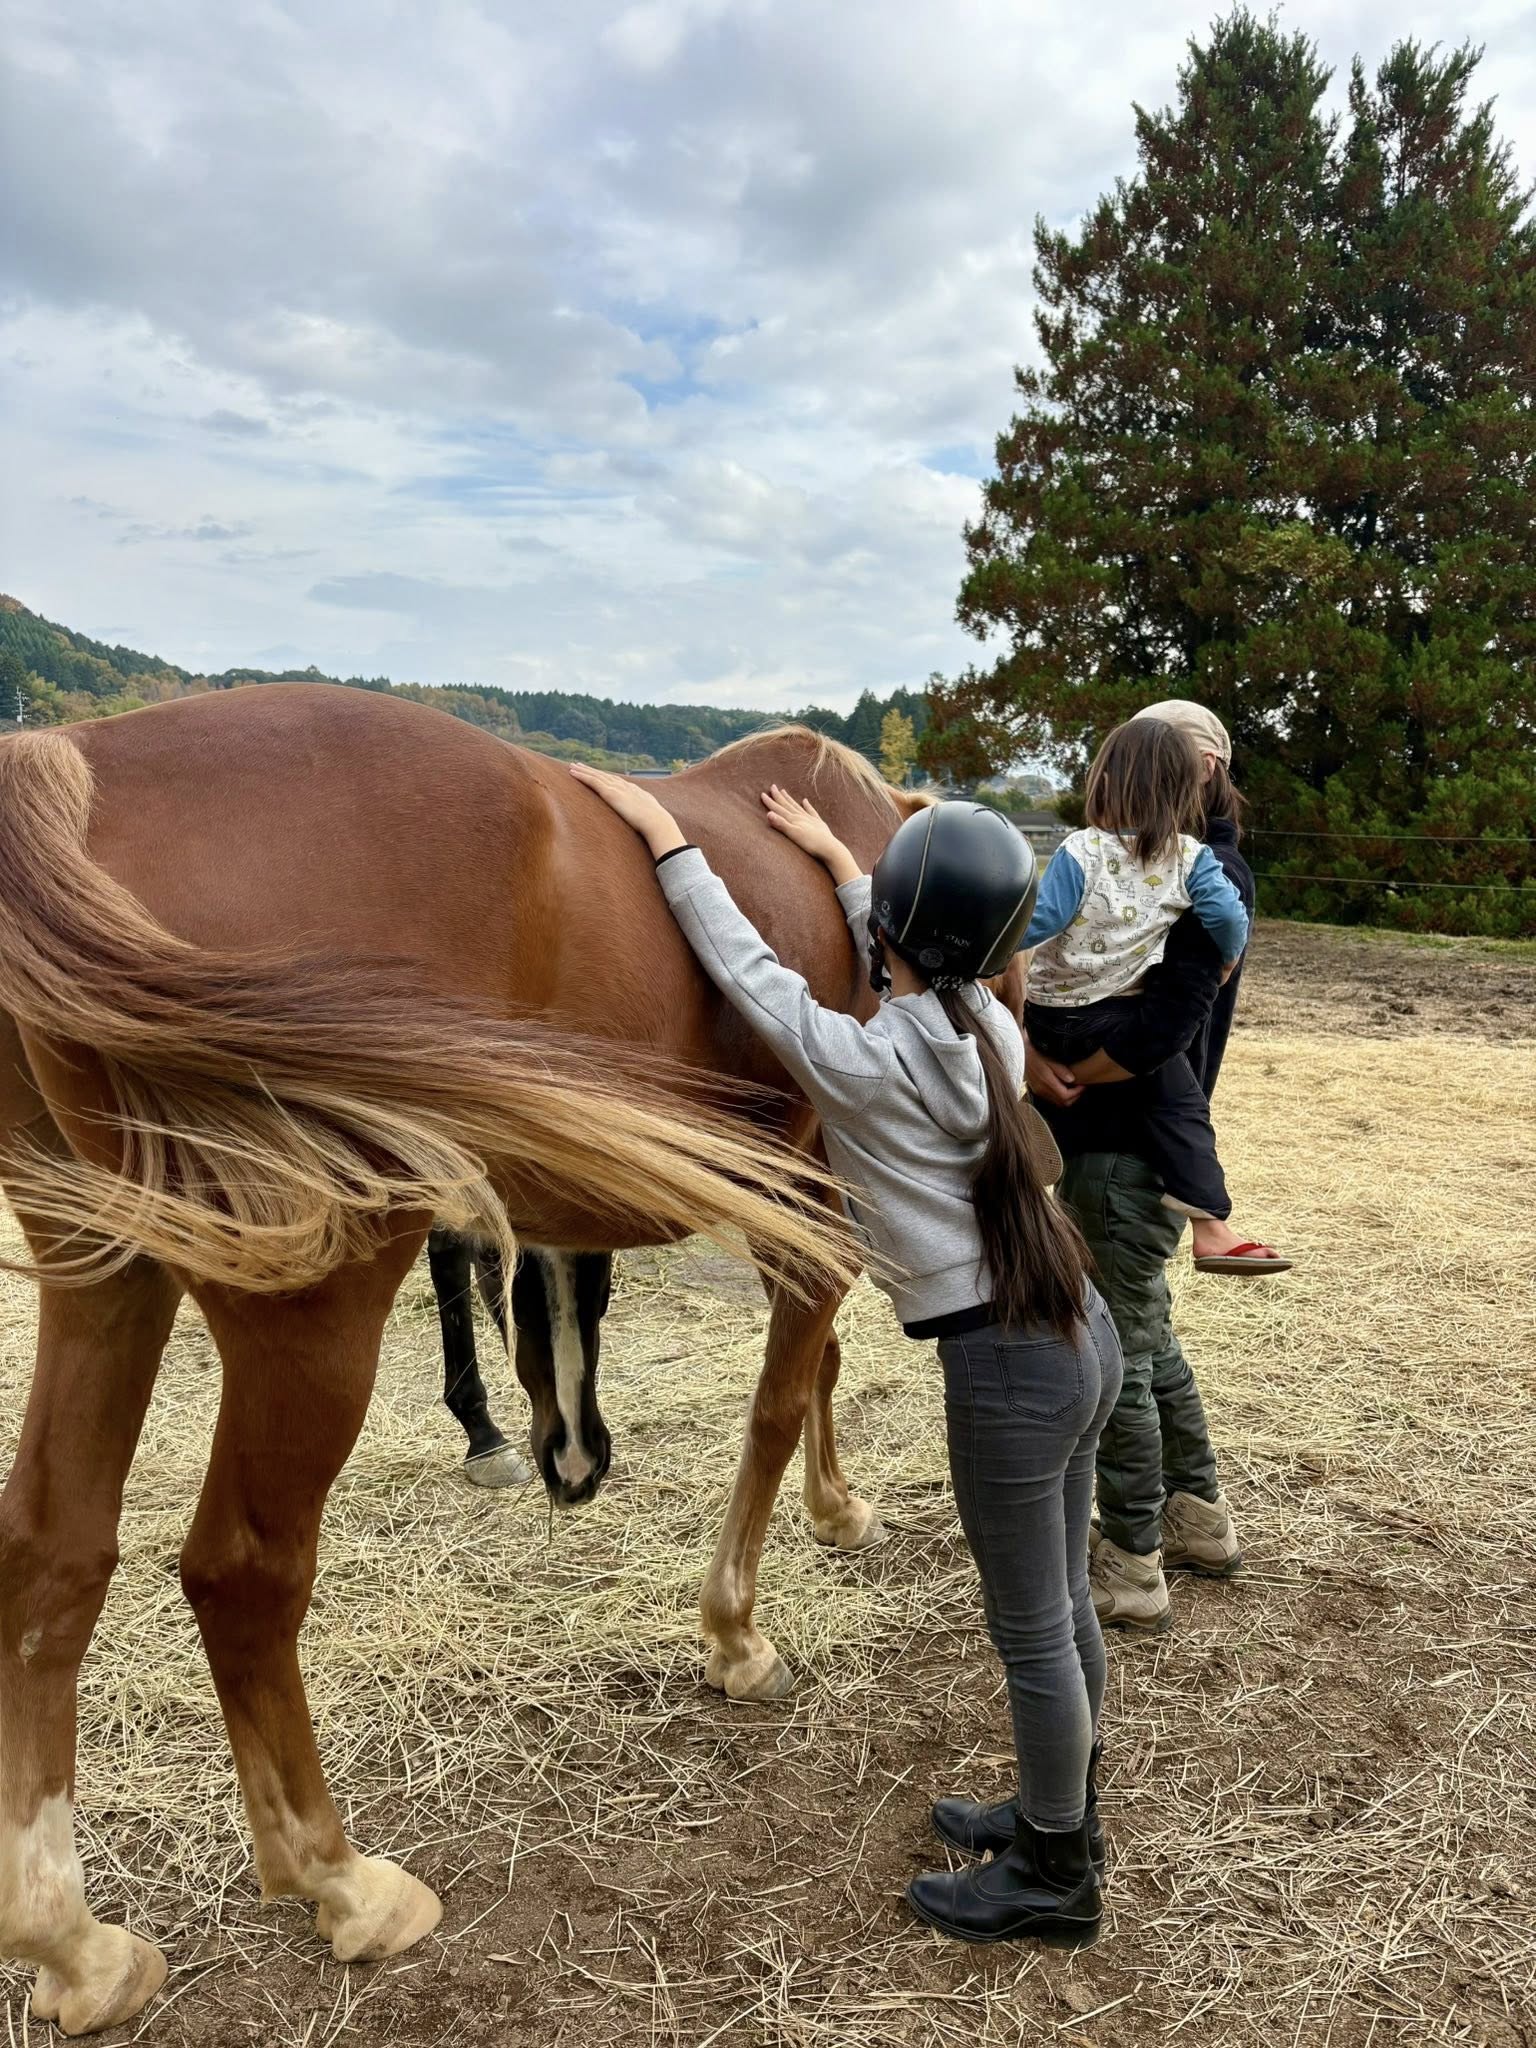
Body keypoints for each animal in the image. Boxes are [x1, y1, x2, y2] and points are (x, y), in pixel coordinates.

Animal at [0, 687, 922, 2034]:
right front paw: (737, 1633)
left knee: (52, 1560)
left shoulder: (791, 1206)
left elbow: (820, 1370)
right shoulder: (815, 1202)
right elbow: (780, 1392)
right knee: (241, 1570)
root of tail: (70, 766)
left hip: (104, 1270)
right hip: (310, 1309)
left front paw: (837, 1506)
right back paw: (340, 1879)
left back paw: (75, 1944)